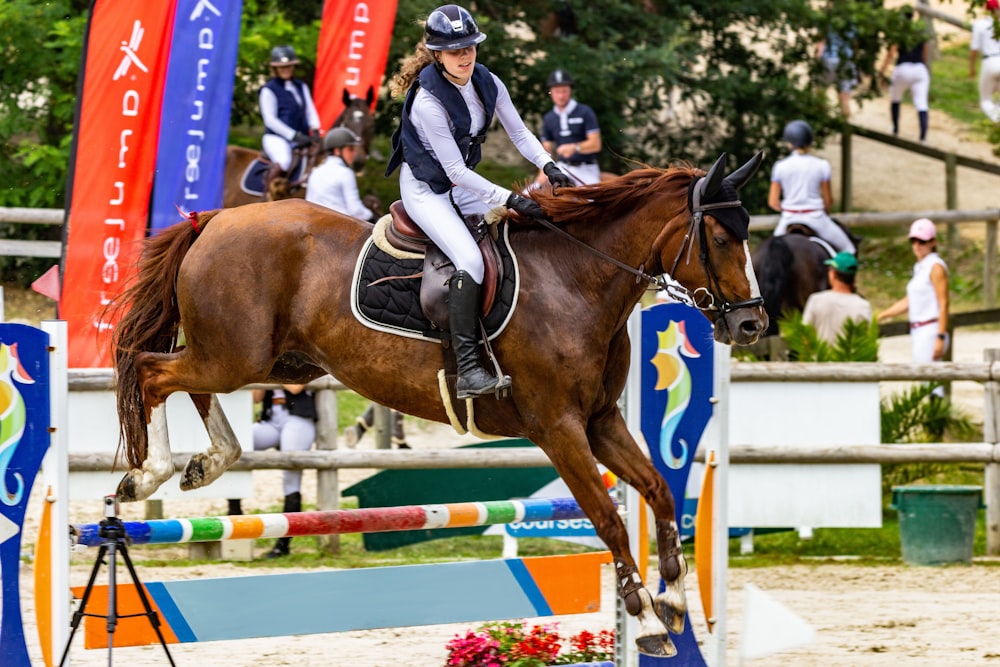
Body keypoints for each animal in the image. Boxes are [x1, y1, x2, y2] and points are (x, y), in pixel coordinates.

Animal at [109, 153, 764, 656]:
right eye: (722, 239)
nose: (752, 325)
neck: (576, 280)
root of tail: (215, 218)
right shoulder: (559, 428)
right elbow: (607, 517)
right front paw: (649, 621)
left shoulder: (601, 422)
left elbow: (657, 489)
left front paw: (674, 599)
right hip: (238, 356)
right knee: (150, 371)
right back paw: (147, 474)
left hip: (272, 361)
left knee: (181, 378)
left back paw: (206, 462)